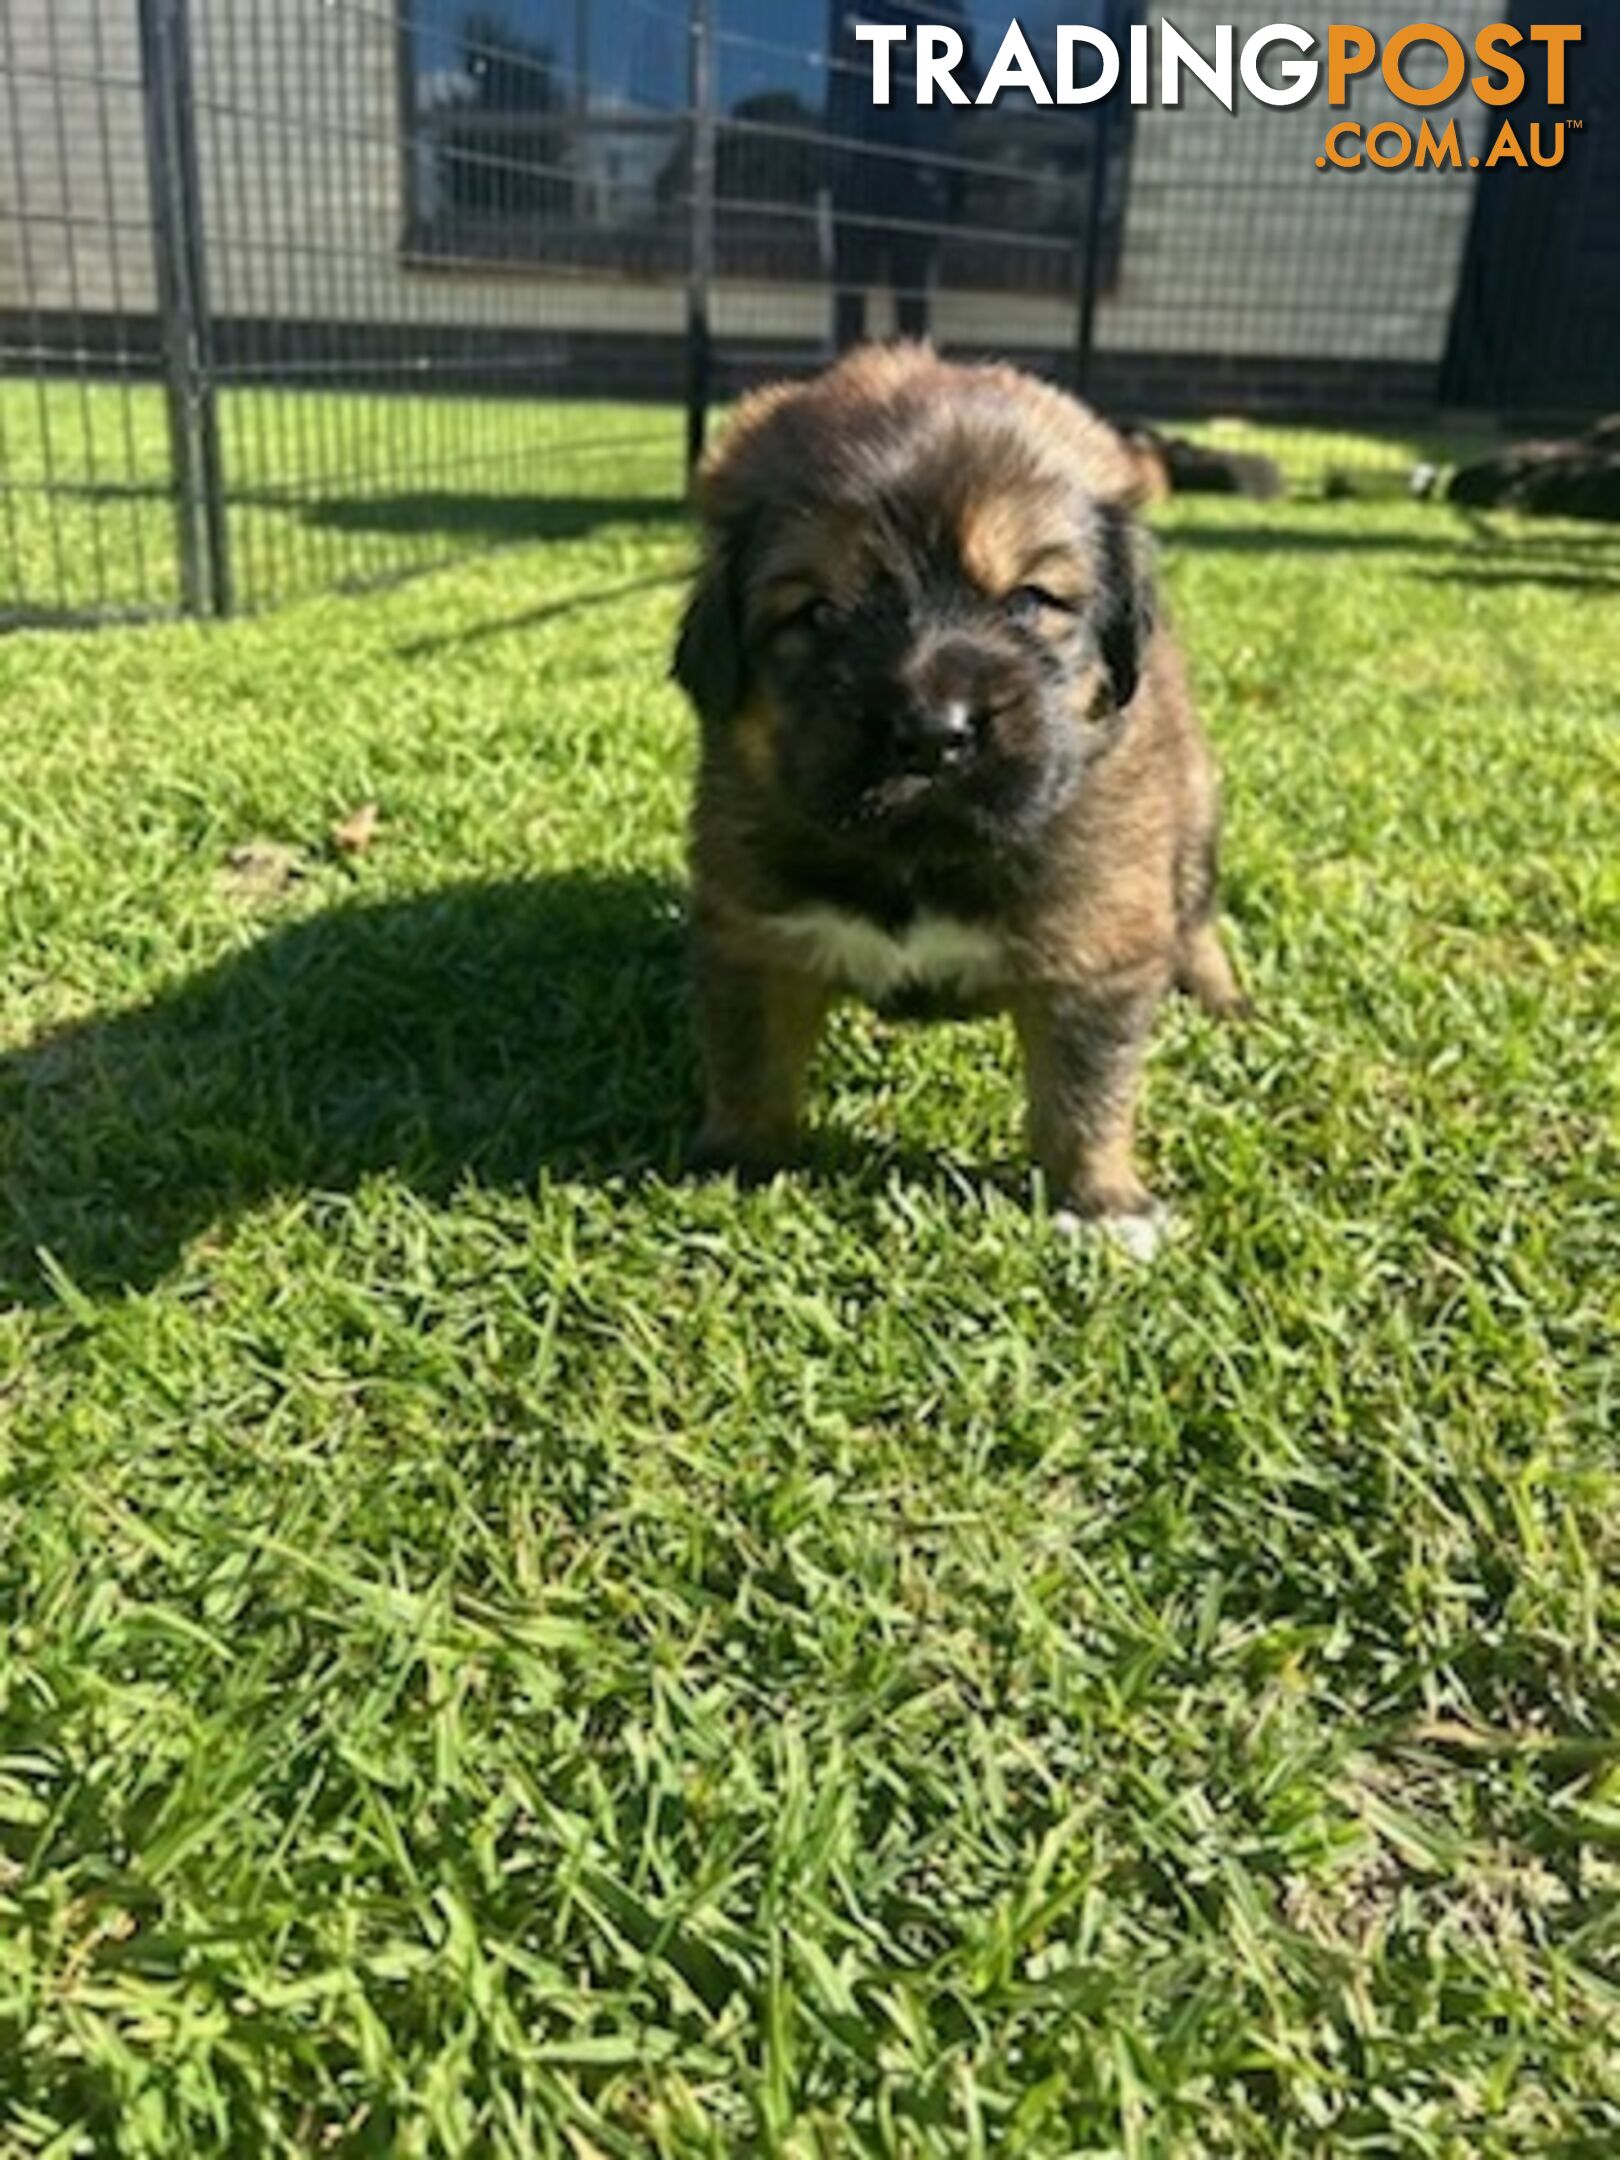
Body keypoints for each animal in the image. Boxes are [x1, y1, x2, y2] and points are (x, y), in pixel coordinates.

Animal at [669, 345, 1244, 1244]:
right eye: (818, 613)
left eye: (1028, 601)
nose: (932, 733)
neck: (921, 856)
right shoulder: (753, 934)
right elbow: (750, 1063)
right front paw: (736, 1160)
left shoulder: (1095, 947)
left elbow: (1085, 1097)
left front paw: (1103, 1203)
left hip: (1191, 823)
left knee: (1198, 922)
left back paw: (1224, 1004)